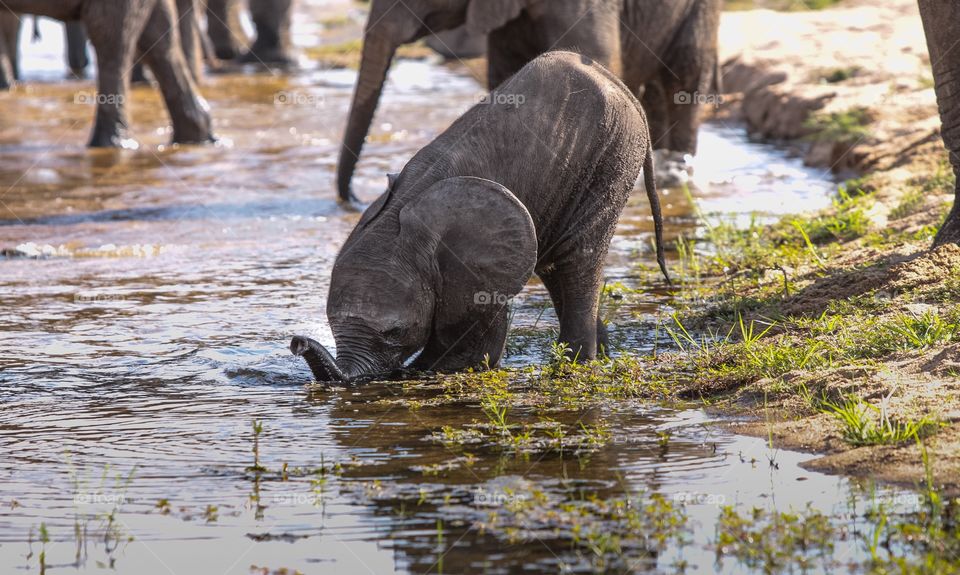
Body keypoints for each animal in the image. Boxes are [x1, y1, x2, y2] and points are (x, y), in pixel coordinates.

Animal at [291, 51, 669, 384]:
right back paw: (598, 354)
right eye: (332, 324)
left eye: (394, 332)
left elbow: (472, 343)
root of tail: (618, 84)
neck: (394, 221)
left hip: (611, 156)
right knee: (555, 266)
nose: (297, 342)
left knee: (575, 258)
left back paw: (575, 361)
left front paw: (419, 371)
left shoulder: (469, 270)